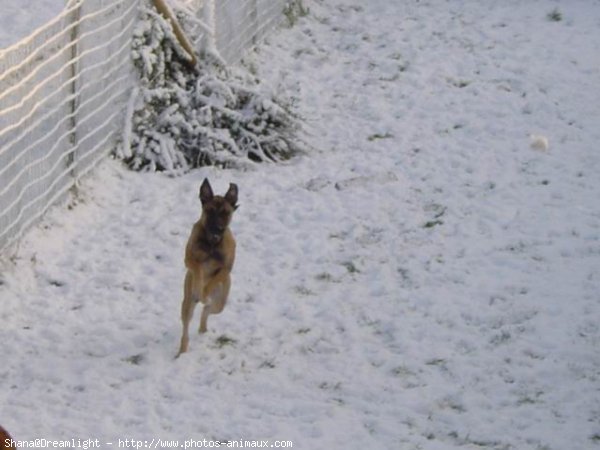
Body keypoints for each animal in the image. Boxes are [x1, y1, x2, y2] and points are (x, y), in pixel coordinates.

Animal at [177, 178, 238, 356]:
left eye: (225, 212)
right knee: (186, 327)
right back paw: (182, 350)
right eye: (210, 211)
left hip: (220, 303)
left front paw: (204, 292)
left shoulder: (226, 269)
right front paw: (200, 288)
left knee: (208, 308)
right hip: (186, 304)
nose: (217, 228)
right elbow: (198, 269)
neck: (212, 242)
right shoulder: (189, 259)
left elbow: (213, 280)